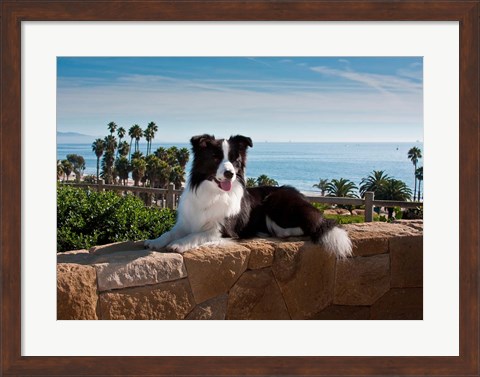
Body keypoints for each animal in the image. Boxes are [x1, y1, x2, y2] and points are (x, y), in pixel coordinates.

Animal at [144, 134, 350, 258]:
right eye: (216, 158)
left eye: (234, 160)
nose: (229, 174)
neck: (213, 192)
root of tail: (303, 197)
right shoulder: (186, 222)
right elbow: (170, 232)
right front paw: (155, 241)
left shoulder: (222, 230)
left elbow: (197, 234)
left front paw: (179, 244)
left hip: (276, 201)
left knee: (307, 226)